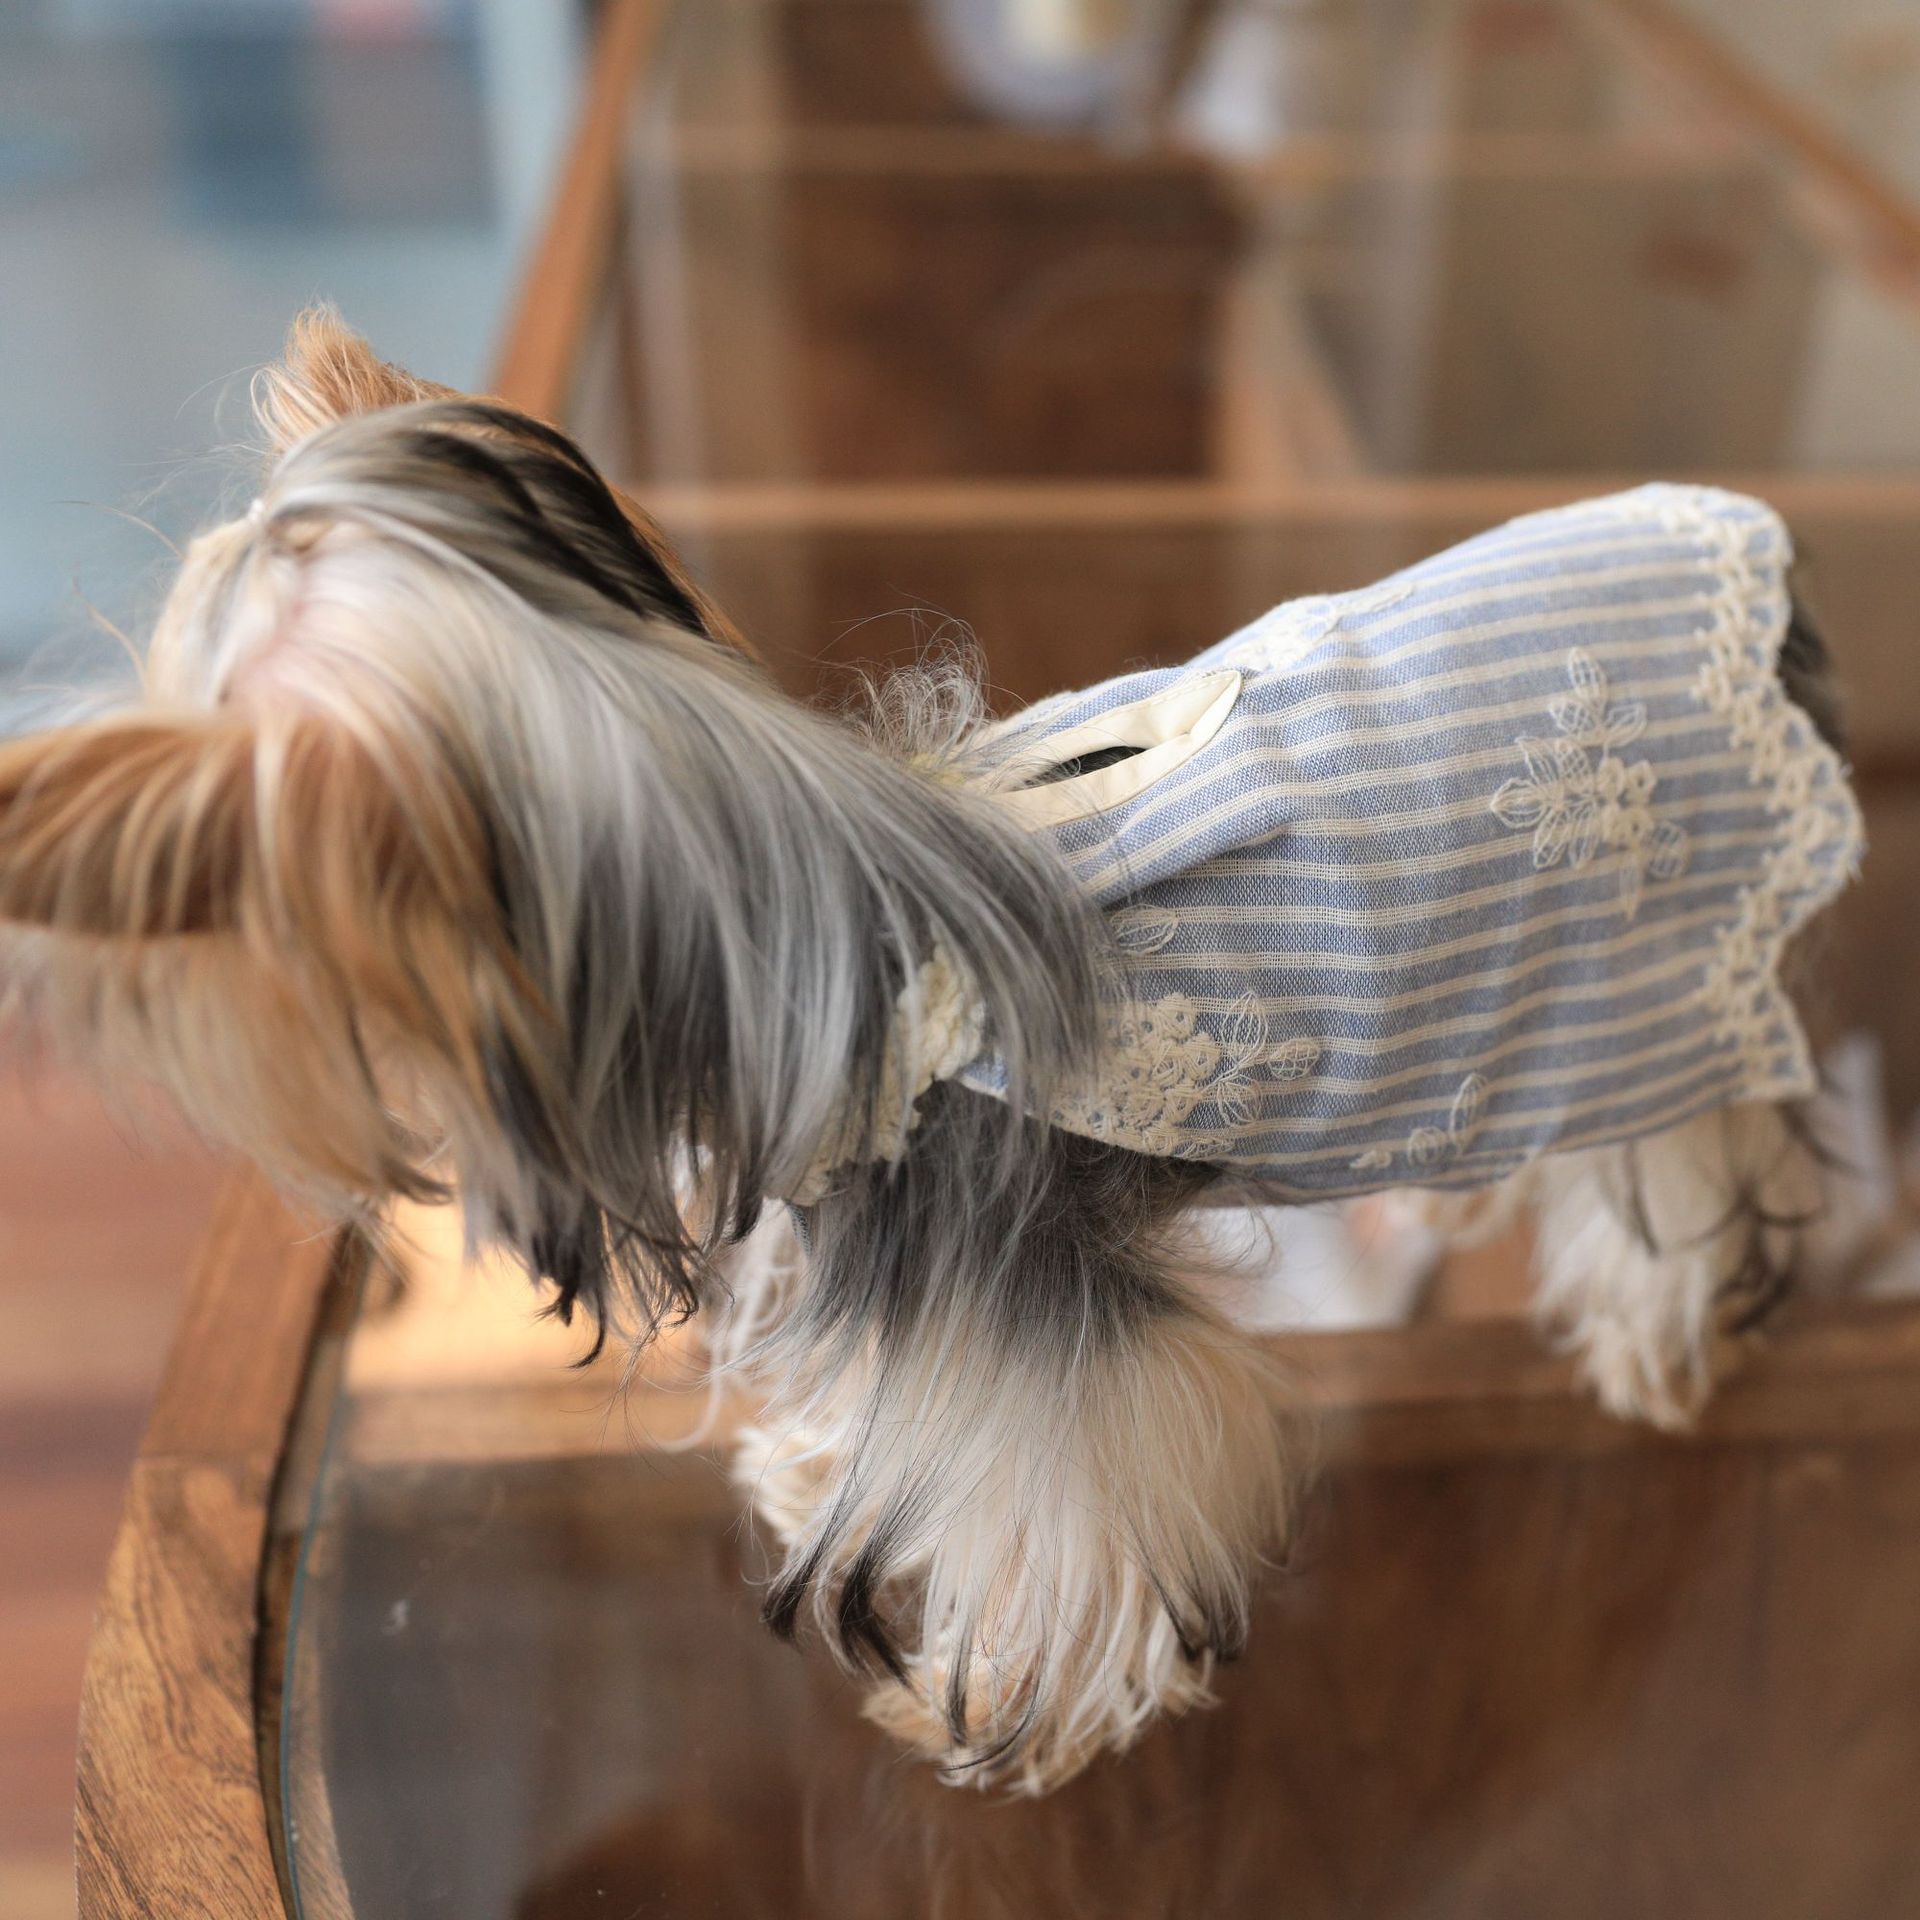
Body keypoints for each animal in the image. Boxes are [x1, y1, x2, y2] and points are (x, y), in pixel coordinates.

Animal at [0, 312, 1862, 1792]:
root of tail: (1758, 570)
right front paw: (810, 1467)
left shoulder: (1053, 1345)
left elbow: (1072, 1530)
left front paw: (986, 1720)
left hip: (1657, 975)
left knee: (1693, 1162)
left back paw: (1651, 1345)